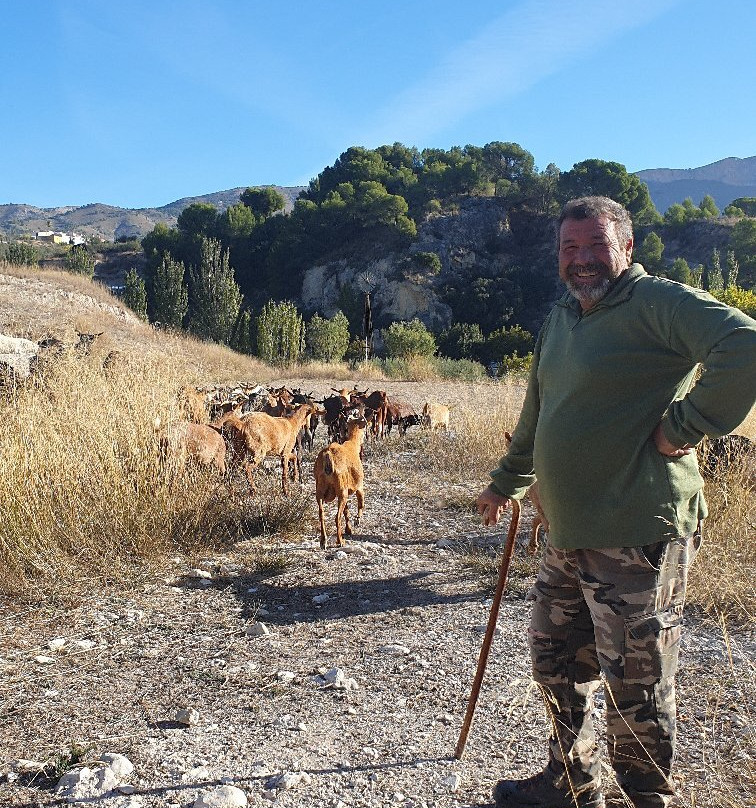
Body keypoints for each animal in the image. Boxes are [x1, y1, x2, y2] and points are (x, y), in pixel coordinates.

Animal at [314, 416, 368, 548]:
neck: (352, 445)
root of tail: (328, 456)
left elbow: (346, 511)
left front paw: (349, 530)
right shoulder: (358, 486)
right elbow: (361, 503)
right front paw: (357, 521)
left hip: (320, 490)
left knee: (321, 514)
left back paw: (323, 541)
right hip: (341, 490)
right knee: (336, 517)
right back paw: (340, 541)